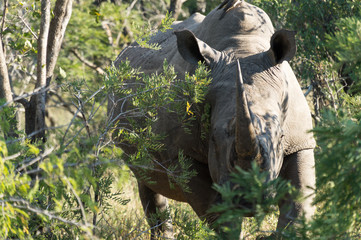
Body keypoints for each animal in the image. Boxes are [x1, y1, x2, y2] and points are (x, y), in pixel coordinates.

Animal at [107, 0, 316, 238]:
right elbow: (219, 215)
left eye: (281, 137)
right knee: (145, 179)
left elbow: (299, 205)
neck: (242, 48)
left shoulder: (300, 141)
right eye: (213, 139)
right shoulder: (182, 154)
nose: (248, 202)